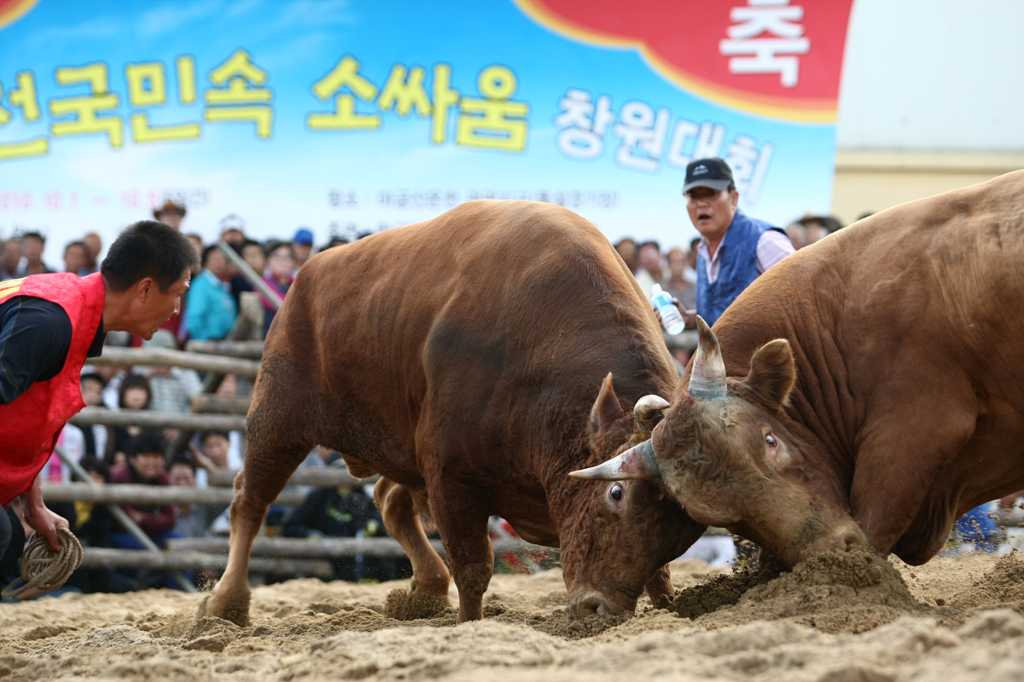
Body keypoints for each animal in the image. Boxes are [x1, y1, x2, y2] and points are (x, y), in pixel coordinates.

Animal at [199, 197, 704, 622]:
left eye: (684, 527)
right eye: (615, 493)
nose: (600, 608)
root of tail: (305, 279)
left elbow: (659, 572)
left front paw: (667, 606)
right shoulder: (449, 474)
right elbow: (473, 566)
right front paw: (469, 624)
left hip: (398, 447)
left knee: (389, 500)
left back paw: (424, 588)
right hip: (278, 419)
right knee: (250, 501)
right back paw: (227, 603)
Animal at [577, 169, 1024, 561]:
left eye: (770, 440)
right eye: (727, 516)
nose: (832, 554)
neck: (836, 323)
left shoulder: (914, 432)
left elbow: (875, 520)